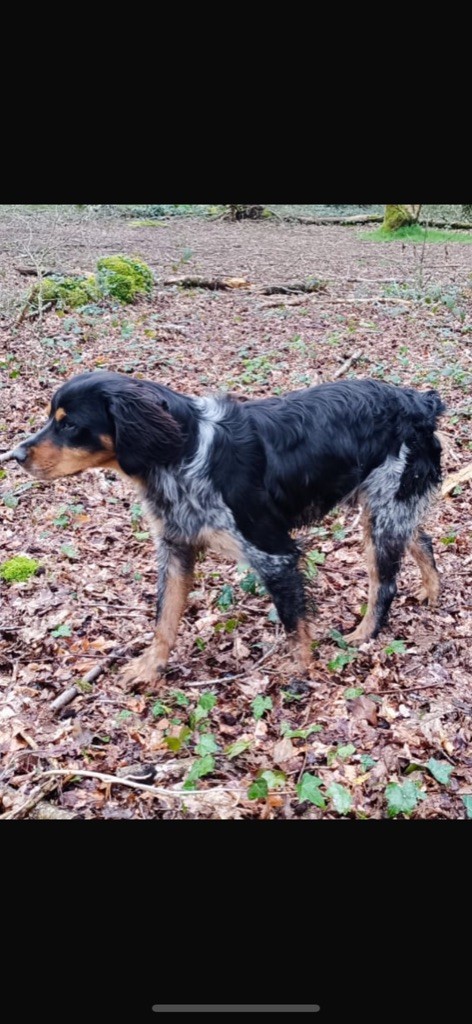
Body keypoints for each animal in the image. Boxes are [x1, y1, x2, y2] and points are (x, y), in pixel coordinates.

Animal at [0, 372, 444, 684]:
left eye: (69, 424)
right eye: (52, 418)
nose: (15, 455)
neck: (181, 454)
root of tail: (418, 402)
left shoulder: (275, 554)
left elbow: (294, 626)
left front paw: (301, 674)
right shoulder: (175, 548)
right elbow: (164, 620)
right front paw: (149, 668)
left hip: (385, 511)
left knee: (384, 584)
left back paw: (365, 633)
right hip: (387, 508)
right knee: (422, 539)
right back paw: (432, 591)